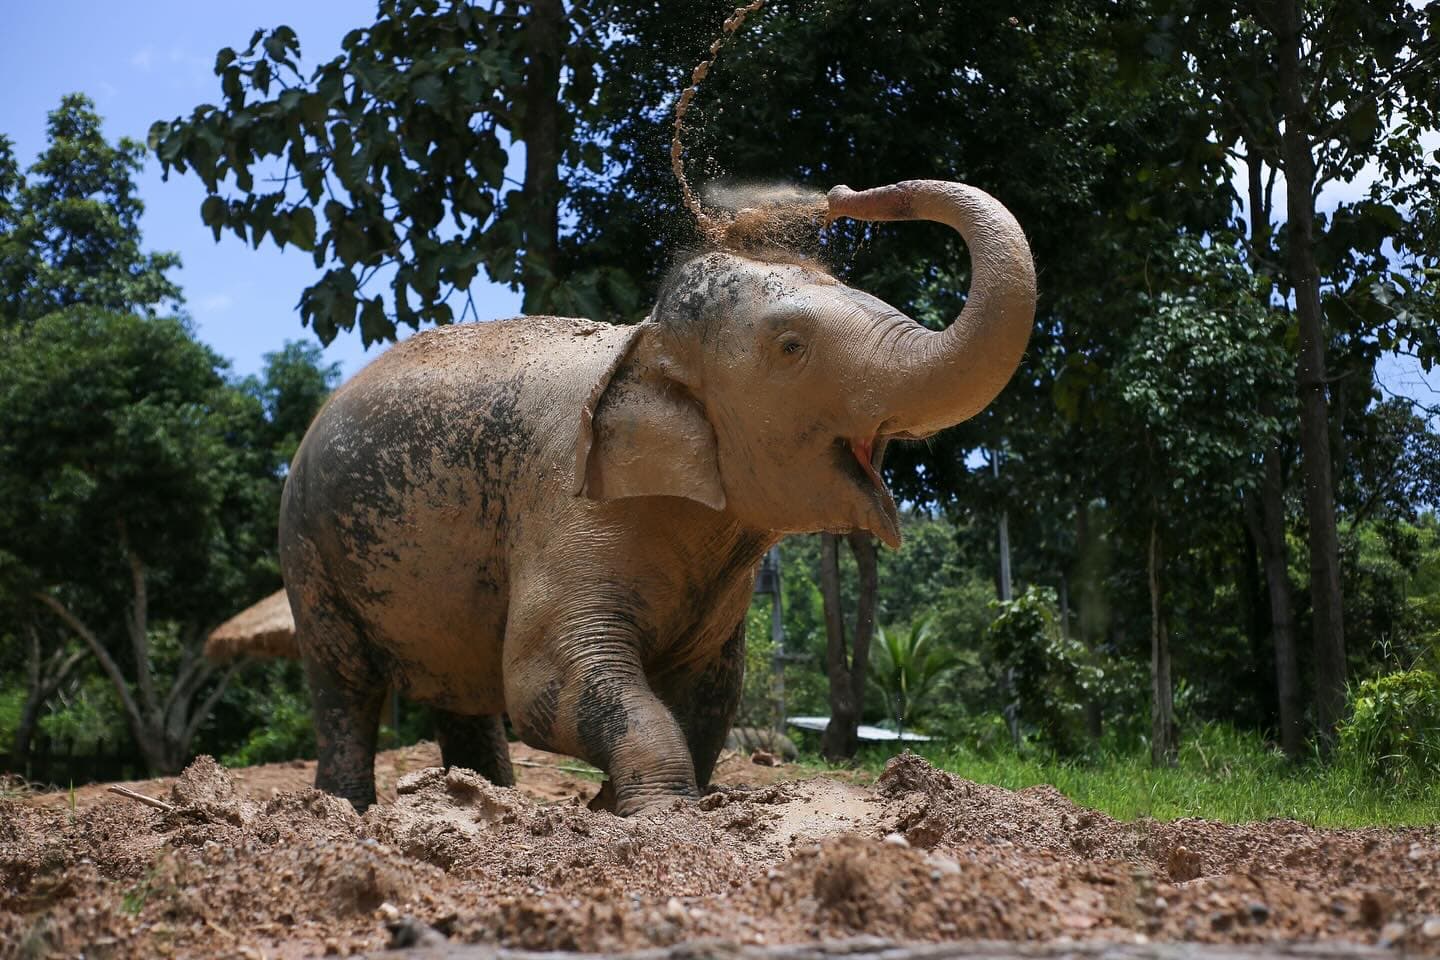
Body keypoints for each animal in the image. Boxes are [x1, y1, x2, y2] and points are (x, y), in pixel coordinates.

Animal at [278, 179, 1035, 815]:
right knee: (345, 683)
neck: (646, 341)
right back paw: (349, 811)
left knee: (456, 691)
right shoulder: (568, 506)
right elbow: (548, 678)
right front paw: (660, 814)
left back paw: (481, 801)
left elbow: (709, 691)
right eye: (792, 347)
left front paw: (617, 809)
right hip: (308, 549)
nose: (842, 194)